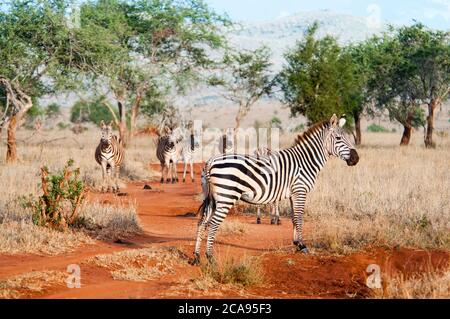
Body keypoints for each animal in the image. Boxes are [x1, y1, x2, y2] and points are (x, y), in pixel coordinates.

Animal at [192, 115, 360, 264]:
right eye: (338, 138)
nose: (356, 159)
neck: (305, 161)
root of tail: (210, 161)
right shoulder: (300, 190)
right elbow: (300, 217)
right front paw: (303, 246)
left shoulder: (293, 193)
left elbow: (294, 218)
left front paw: (296, 243)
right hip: (226, 197)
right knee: (213, 224)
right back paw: (210, 258)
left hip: (213, 199)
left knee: (201, 223)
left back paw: (196, 257)